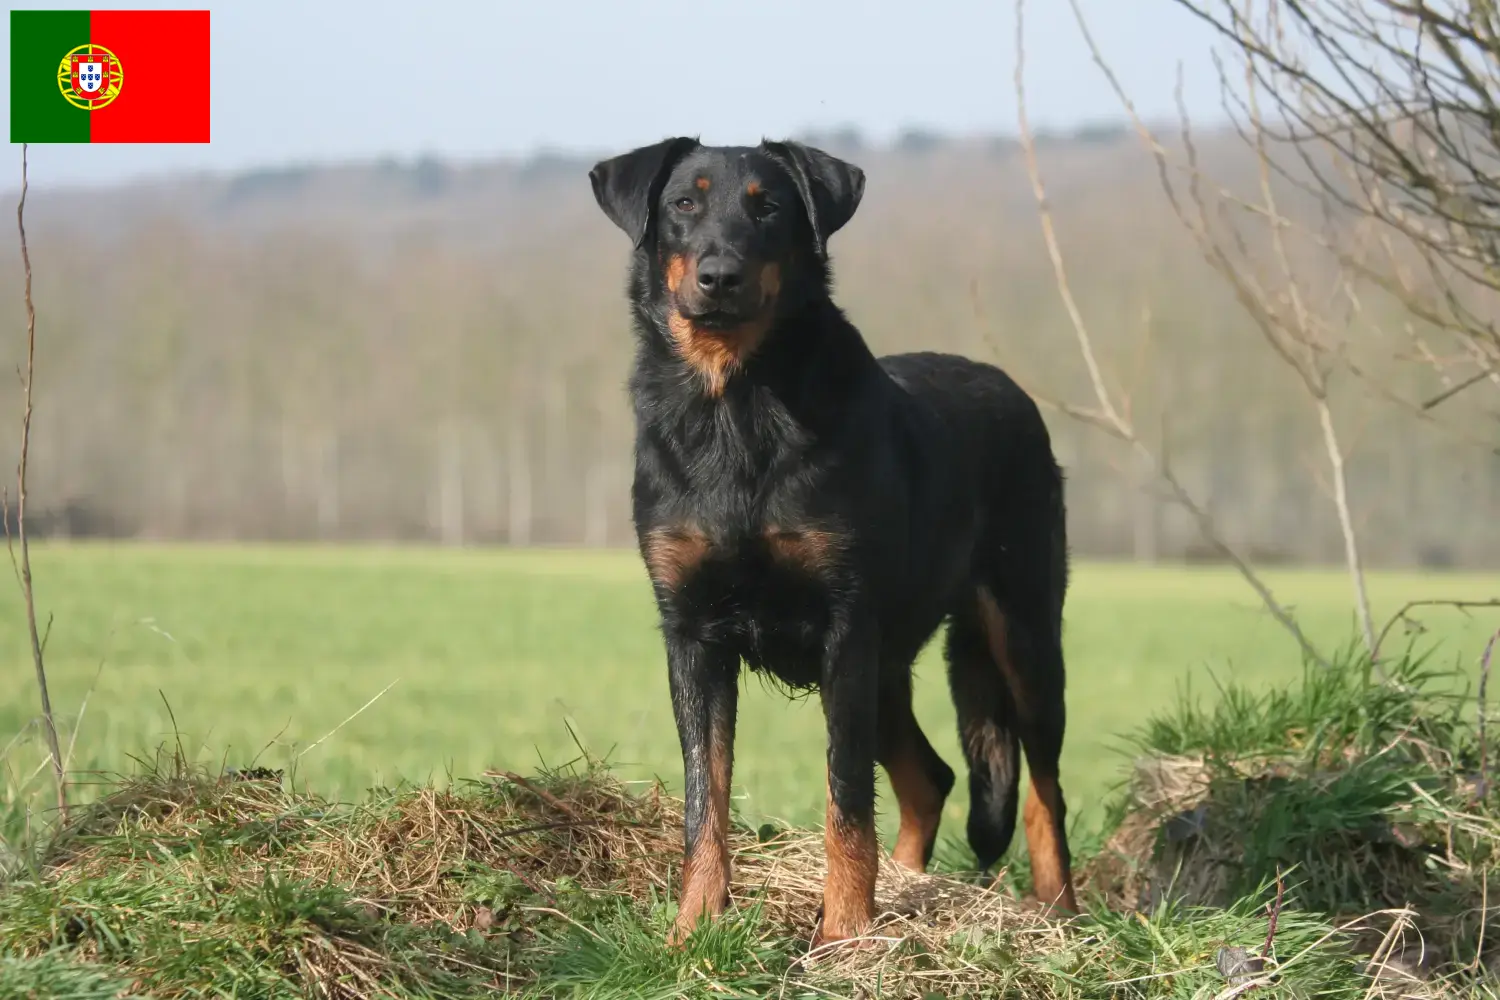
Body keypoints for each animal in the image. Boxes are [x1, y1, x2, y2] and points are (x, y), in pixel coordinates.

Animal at [588, 138, 1080, 947]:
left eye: (769, 208)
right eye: (684, 204)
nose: (719, 274)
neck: (735, 406)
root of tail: (1011, 390)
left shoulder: (844, 630)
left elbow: (844, 797)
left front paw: (845, 933)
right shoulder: (691, 634)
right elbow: (704, 797)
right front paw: (696, 926)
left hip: (1021, 632)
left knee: (1043, 789)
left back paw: (1058, 912)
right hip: (891, 665)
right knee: (931, 779)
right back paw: (914, 885)